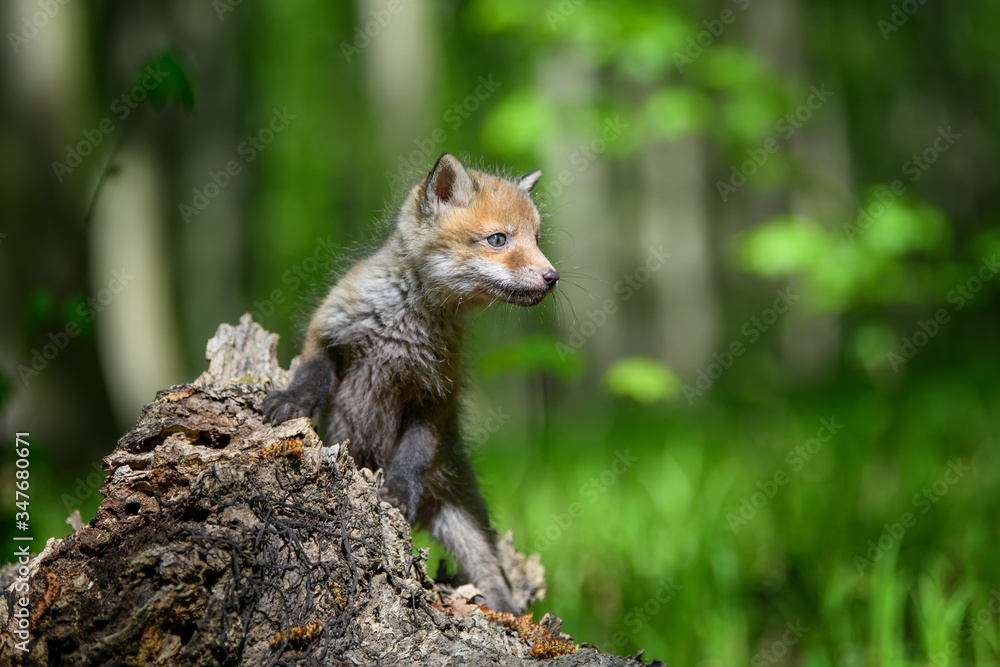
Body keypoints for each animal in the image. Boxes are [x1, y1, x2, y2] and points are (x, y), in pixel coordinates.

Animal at [262, 153, 558, 613]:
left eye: (537, 239)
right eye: (498, 239)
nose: (552, 276)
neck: (403, 324)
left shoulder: (436, 392)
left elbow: (414, 454)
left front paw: (398, 493)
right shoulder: (327, 332)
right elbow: (311, 377)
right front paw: (291, 402)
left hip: (461, 516)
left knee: (490, 569)